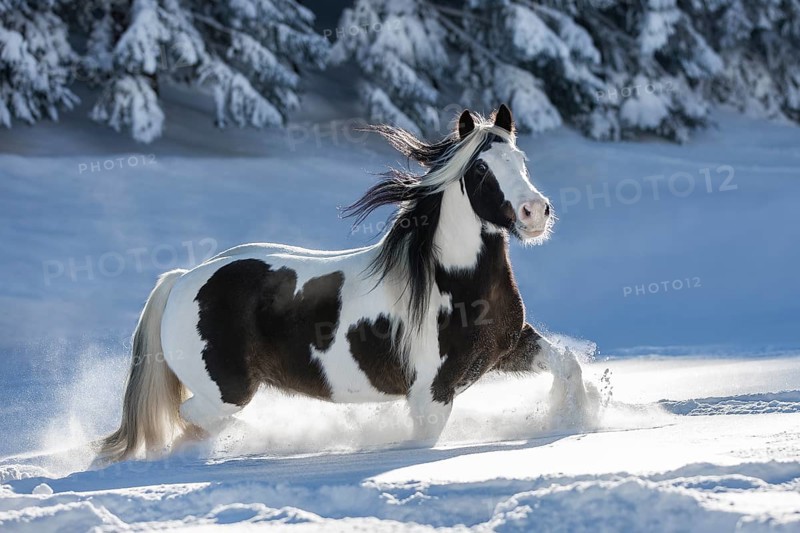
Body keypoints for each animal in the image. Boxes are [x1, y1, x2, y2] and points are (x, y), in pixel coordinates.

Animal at [98, 104, 577, 463]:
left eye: (521, 162)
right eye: (480, 169)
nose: (535, 212)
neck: (452, 282)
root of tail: (182, 280)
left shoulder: (508, 347)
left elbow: (568, 364)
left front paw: (571, 420)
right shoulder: (431, 394)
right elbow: (424, 443)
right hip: (226, 391)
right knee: (194, 416)